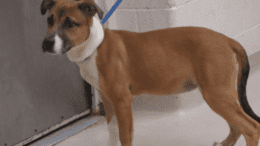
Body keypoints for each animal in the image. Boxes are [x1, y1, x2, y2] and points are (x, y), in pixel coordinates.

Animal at [40, 0, 260, 145]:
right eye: (50, 20)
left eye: (70, 23)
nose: (46, 44)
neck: (94, 48)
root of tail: (227, 40)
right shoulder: (107, 99)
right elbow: (112, 132)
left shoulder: (122, 100)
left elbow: (125, 136)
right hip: (220, 95)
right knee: (236, 127)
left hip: (216, 94)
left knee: (250, 128)